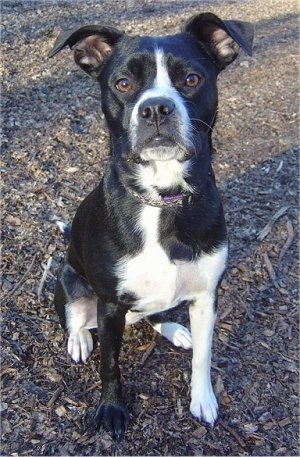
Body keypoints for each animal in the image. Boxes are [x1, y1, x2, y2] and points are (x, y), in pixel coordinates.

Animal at [48, 11, 253, 438]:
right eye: (123, 83)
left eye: (191, 79)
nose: (156, 108)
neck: (162, 199)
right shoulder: (110, 305)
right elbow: (110, 365)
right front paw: (111, 410)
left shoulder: (206, 296)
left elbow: (204, 355)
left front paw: (203, 399)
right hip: (70, 281)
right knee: (75, 318)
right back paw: (79, 340)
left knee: (155, 314)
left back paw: (175, 330)